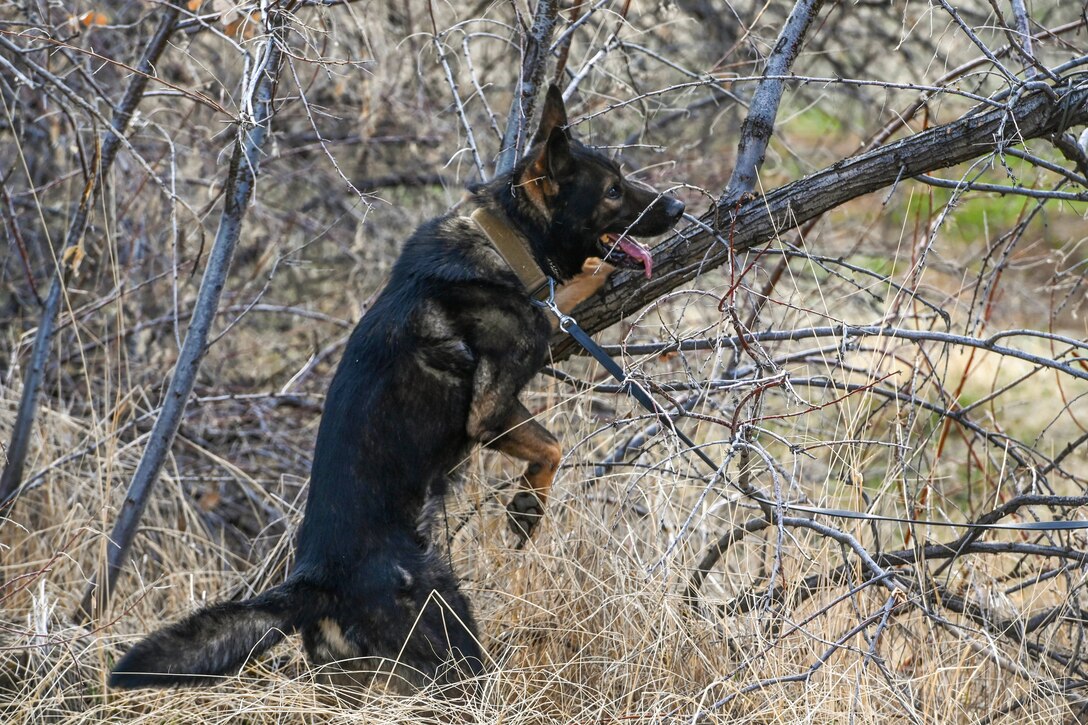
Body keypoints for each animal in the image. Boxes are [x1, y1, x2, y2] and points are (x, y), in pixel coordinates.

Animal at [112, 84, 687, 696]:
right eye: (613, 191)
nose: (678, 209)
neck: (505, 240)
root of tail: (316, 583)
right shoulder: (489, 409)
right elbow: (552, 441)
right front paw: (526, 512)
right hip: (453, 647)